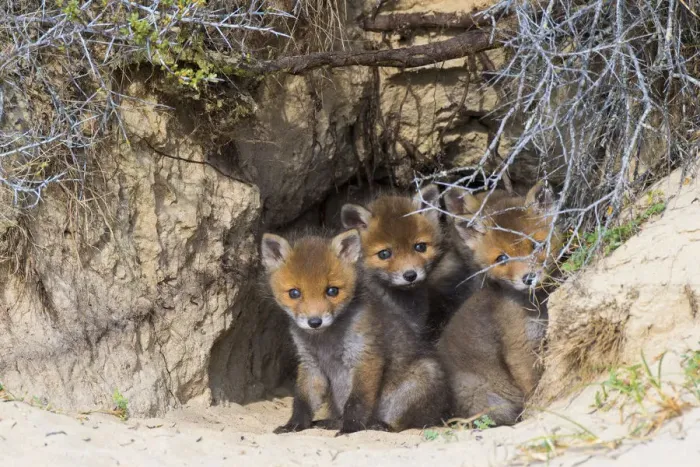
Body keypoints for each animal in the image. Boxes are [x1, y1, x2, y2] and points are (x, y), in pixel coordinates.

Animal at [261, 229, 449, 435]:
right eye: (294, 293)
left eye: (332, 291)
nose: (315, 322)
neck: (325, 342)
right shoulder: (311, 365)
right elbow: (303, 402)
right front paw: (294, 426)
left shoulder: (366, 358)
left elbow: (357, 402)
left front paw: (349, 429)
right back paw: (331, 422)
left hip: (420, 380)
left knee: (407, 423)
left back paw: (381, 425)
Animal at [437, 181, 563, 425]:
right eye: (502, 258)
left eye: (537, 246)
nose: (529, 278)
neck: (537, 306)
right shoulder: (519, 348)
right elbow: (532, 387)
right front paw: (535, 407)